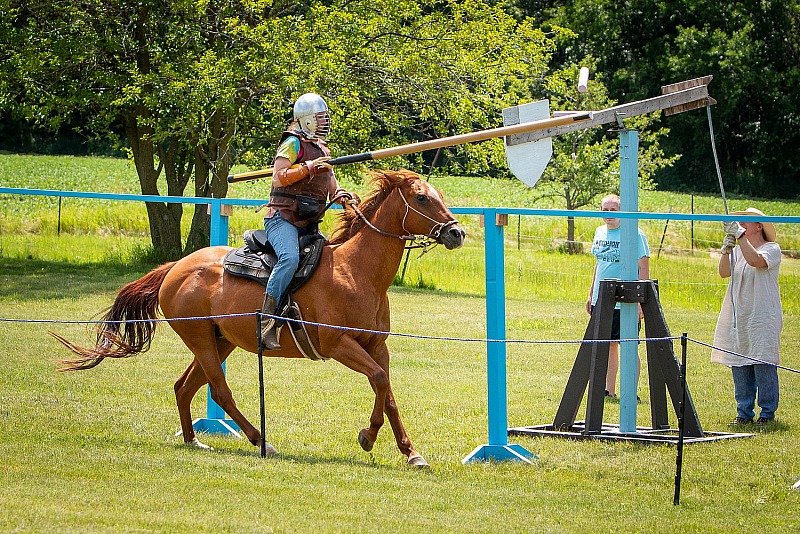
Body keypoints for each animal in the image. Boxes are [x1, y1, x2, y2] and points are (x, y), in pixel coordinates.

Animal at [53, 170, 466, 466]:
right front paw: (368, 436)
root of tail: (175, 268)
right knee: (219, 390)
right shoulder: (339, 345)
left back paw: (194, 440)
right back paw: (261, 441)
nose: (457, 232)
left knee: (184, 387)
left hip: (219, 342)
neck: (356, 271)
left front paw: (411, 453)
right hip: (202, 340)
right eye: (421, 197)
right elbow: (380, 381)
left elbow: (387, 392)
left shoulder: (376, 346)